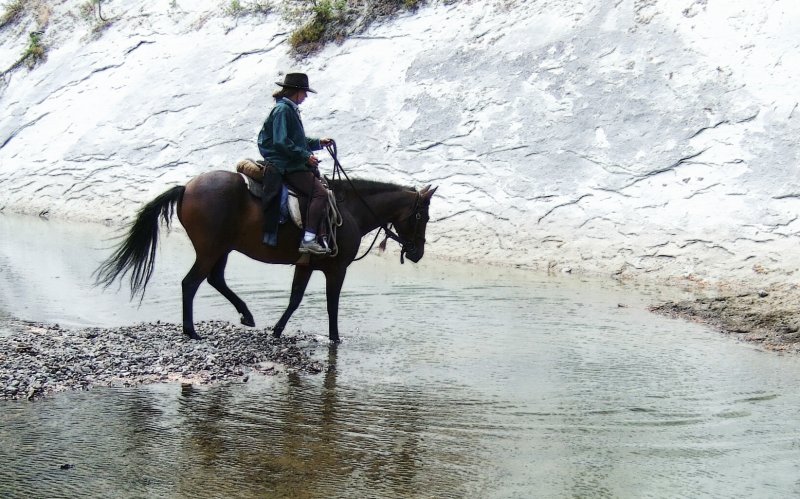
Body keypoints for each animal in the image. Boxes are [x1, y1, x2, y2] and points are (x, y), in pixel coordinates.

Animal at [94, 169, 438, 344]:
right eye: (422, 216)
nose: (418, 253)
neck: (351, 210)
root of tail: (186, 187)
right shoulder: (336, 269)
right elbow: (331, 304)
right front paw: (335, 338)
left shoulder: (306, 265)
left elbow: (295, 298)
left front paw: (277, 329)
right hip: (211, 248)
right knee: (191, 283)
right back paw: (191, 330)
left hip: (222, 249)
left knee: (214, 279)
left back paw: (246, 315)